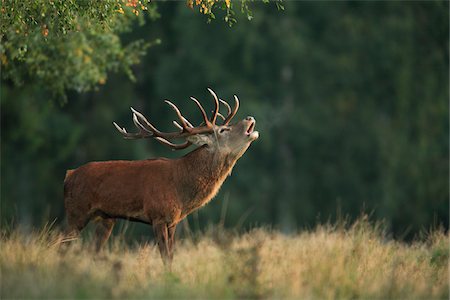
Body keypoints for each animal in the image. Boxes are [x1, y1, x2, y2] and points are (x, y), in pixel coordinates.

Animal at [64, 88, 258, 266]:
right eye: (223, 130)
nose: (249, 118)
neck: (181, 190)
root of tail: (68, 175)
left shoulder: (173, 221)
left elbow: (171, 258)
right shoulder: (158, 215)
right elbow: (165, 258)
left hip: (105, 218)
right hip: (76, 212)